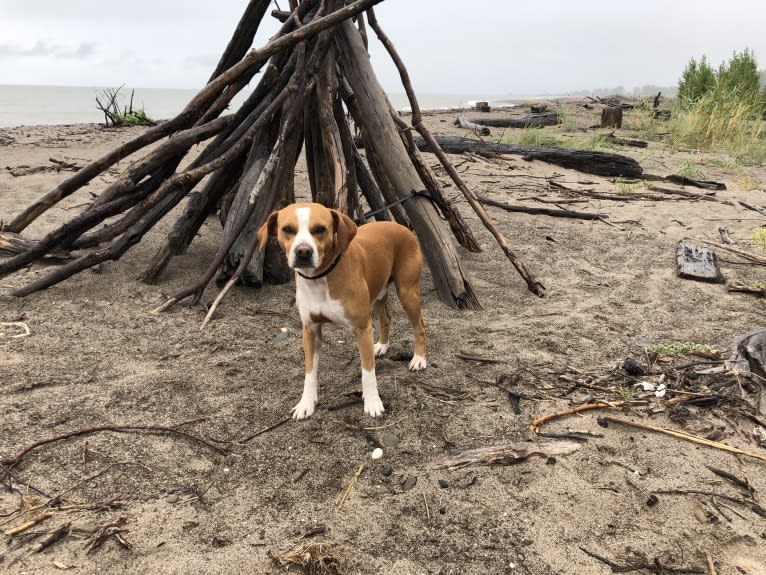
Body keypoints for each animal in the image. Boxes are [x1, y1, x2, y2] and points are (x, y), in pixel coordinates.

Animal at [256, 202, 426, 418]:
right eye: (287, 229)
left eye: (320, 229)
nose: (303, 251)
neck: (320, 279)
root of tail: (400, 226)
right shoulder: (310, 330)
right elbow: (309, 372)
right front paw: (306, 403)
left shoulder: (362, 328)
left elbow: (368, 371)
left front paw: (373, 402)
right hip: (378, 294)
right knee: (385, 318)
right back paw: (382, 345)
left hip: (407, 293)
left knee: (419, 325)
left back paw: (419, 359)